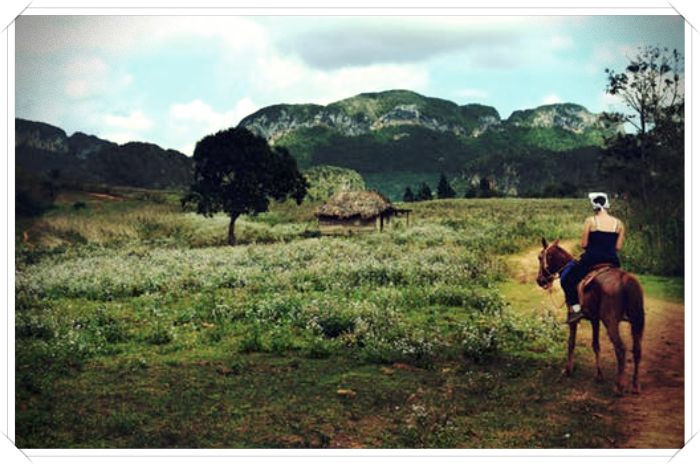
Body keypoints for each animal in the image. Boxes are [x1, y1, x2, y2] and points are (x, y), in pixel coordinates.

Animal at [535, 238, 645, 395]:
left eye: (540, 257)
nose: (540, 280)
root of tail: (625, 279)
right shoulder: (594, 319)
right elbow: (596, 345)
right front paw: (599, 375)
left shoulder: (572, 317)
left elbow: (571, 342)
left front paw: (568, 370)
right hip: (637, 321)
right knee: (637, 349)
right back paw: (635, 385)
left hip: (611, 321)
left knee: (620, 348)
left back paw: (619, 386)